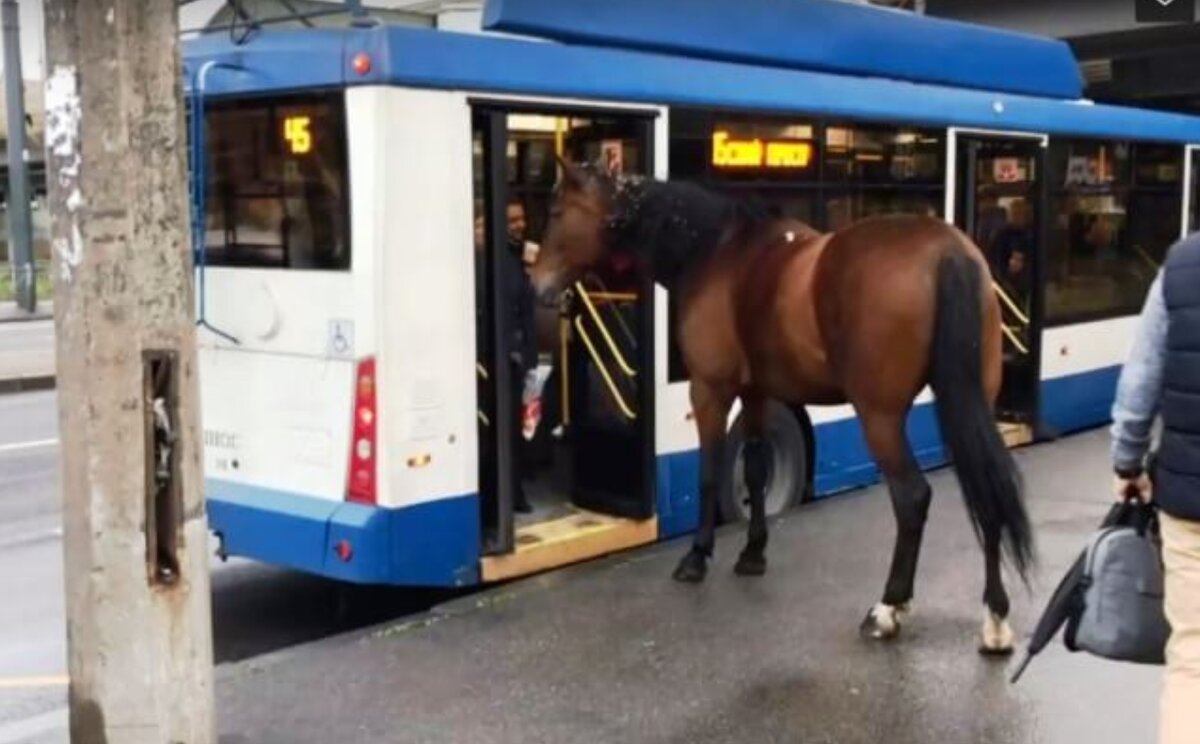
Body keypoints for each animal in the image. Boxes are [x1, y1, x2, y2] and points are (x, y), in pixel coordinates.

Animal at [530, 160, 1036, 652]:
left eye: (555, 212)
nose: (537, 285)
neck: (716, 254)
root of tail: (948, 252)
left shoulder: (709, 390)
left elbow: (710, 471)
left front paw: (697, 555)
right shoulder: (757, 392)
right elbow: (754, 468)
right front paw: (753, 551)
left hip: (881, 417)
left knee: (912, 498)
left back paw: (888, 607)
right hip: (972, 402)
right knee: (987, 488)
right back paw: (995, 617)